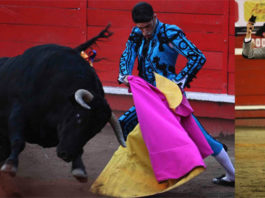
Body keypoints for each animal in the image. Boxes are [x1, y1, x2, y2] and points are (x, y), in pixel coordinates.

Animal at [0, 24, 126, 183]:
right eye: (79, 117)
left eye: (95, 130)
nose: (66, 155)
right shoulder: (18, 111)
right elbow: (18, 140)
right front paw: (10, 166)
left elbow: (79, 149)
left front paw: (79, 168)